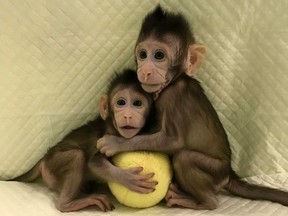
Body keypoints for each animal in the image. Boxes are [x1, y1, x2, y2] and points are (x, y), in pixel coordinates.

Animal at [10, 68, 158, 212]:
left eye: (137, 103)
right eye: (121, 102)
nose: (127, 115)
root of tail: (45, 158)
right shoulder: (106, 136)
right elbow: (94, 162)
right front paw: (128, 178)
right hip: (54, 164)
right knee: (77, 155)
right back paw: (69, 204)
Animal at [96, 5, 288, 210]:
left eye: (159, 55)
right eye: (143, 55)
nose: (145, 71)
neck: (176, 80)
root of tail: (229, 173)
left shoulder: (173, 96)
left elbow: (173, 141)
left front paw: (115, 143)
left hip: (214, 171)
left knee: (185, 158)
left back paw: (200, 201)